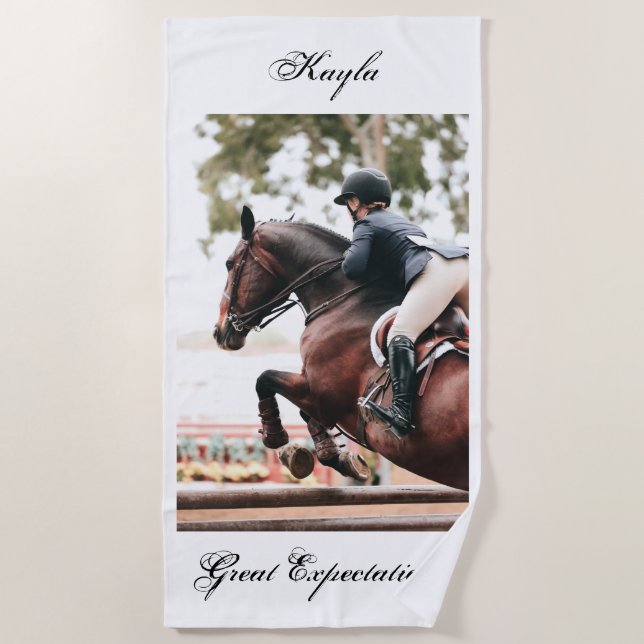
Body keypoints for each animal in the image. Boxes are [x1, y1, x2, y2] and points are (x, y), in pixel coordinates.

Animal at [212, 207, 469, 491]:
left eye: (229, 263)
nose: (219, 331)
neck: (344, 300)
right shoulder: (317, 393)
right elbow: (302, 410)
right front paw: (332, 457)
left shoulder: (321, 394)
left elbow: (265, 379)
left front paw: (277, 438)